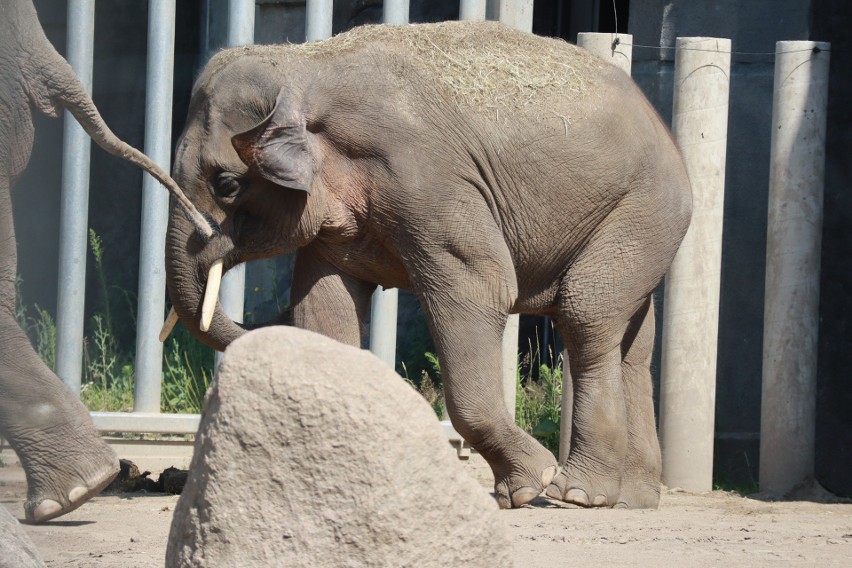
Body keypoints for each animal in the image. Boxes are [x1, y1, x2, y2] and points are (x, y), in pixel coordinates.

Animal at [165, 21, 692, 510]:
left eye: (227, 184)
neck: (305, 66)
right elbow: (324, 310)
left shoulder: (428, 180)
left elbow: (482, 288)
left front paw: (525, 488)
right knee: (633, 343)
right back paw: (633, 500)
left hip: (643, 208)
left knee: (584, 315)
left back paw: (578, 493)